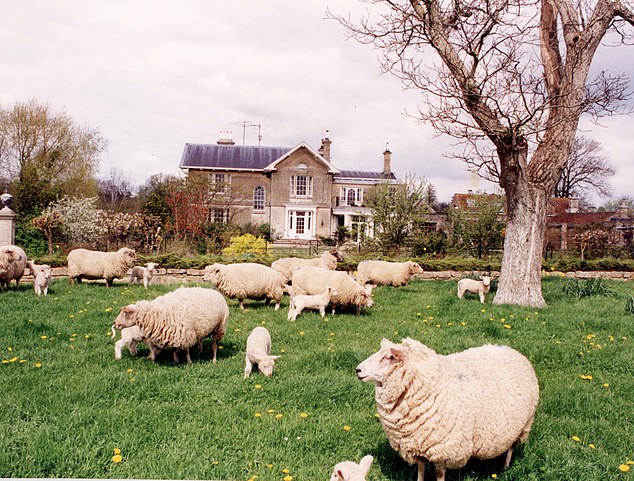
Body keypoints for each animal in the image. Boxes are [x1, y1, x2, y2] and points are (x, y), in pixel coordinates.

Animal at [356, 338, 540, 480]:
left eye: (388, 357)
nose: (358, 369)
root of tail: (513, 350)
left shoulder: (443, 449)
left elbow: (439, 474)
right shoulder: (418, 443)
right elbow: (421, 469)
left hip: (523, 425)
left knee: (511, 448)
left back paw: (505, 467)